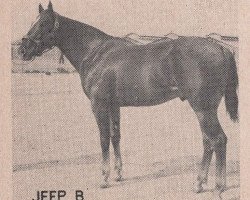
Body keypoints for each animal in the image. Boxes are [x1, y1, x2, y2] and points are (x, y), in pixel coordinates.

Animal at [19, 1, 238, 198]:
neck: (96, 53)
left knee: (218, 139)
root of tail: (220, 48)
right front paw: (118, 174)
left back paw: (218, 187)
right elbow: (115, 136)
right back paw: (199, 184)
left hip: (203, 108)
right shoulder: (114, 105)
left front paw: (104, 178)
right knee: (208, 141)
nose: (22, 49)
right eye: (33, 21)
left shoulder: (99, 105)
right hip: (204, 110)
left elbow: (103, 138)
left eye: (44, 23)